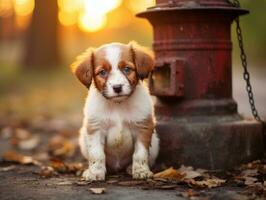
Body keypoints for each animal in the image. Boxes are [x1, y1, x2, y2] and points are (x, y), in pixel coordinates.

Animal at [70, 41, 159, 180]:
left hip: (155, 142)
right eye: (102, 72)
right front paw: (95, 172)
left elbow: (140, 154)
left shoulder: (143, 127)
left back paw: (130, 168)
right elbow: (96, 154)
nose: (117, 87)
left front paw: (141, 171)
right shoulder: (95, 128)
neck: (118, 104)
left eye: (127, 69)